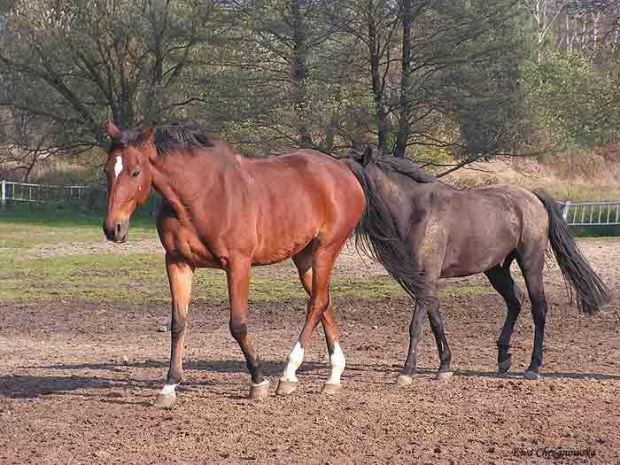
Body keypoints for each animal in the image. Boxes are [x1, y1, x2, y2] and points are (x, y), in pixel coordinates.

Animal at [103, 121, 422, 404]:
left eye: (135, 171)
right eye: (107, 169)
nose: (112, 229)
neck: (200, 196)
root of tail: (343, 169)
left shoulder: (238, 264)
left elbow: (238, 324)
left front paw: (258, 381)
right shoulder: (178, 263)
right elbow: (178, 323)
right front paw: (168, 386)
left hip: (325, 250)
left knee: (317, 304)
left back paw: (289, 374)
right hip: (304, 258)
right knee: (324, 302)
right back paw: (333, 377)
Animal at [348, 147, 612, 382]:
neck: (417, 212)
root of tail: (532, 197)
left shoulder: (426, 276)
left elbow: (417, 324)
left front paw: (407, 371)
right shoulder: (424, 281)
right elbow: (436, 321)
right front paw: (445, 366)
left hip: (531, 263)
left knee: (539, 308)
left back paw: (533, 367)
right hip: (495, 270)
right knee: (515, 300)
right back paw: (503, 357)